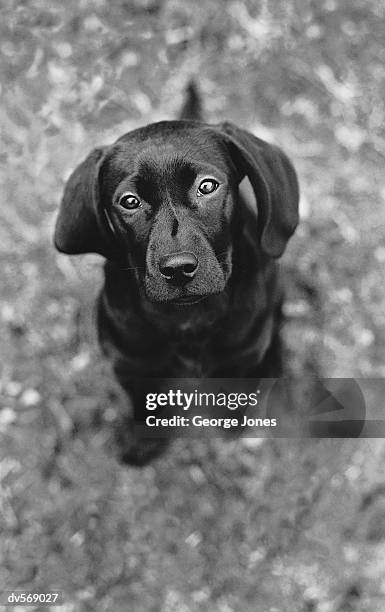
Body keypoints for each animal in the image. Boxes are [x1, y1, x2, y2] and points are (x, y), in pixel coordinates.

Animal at [54, 85, 300, 464]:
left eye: (207, 186)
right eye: (129, 201)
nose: (178, 269)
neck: (188, 318)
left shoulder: (238, 360)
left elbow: (234, 398)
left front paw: (232, 424)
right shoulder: (132, 366)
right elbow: (145, 408)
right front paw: (143, 444)